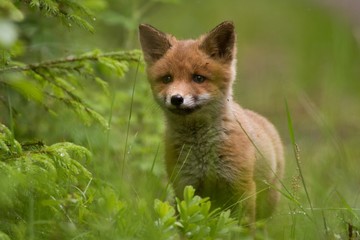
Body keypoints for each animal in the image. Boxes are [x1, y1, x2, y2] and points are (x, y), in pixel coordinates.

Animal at [139, 21, 286, 224]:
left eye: (198, 78)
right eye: (167, 78)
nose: (176, 99)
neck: (202, 154)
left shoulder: (242, 186)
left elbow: (243, 226)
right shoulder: (185, 185)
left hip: (266, 203)